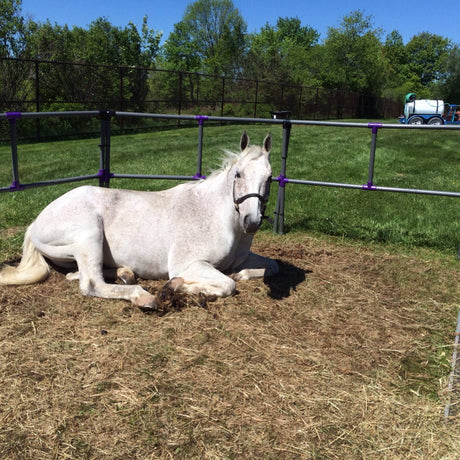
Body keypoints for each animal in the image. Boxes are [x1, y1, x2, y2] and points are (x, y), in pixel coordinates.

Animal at [0, 130, 278, 310]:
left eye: (270, 177)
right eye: (238, 174)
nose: (251, 222)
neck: (215, 215)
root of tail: (35, 224)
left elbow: (270, 266)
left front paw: (242, 273)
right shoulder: (189, 265)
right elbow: (227, 284)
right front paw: (176, 287)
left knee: (81, 274)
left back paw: (126, 273)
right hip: (89, 234)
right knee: (91, 283)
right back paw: (145, 297)